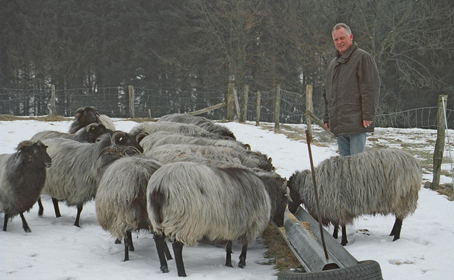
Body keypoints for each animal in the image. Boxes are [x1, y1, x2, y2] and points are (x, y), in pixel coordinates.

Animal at [146, 161, 288, 276]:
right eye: (285, 198)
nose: (281, 223)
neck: (267, 192)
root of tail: (160, 187)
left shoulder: (232, 223)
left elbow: (229, 244)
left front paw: (228, 263)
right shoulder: (252, 223)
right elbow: (245, 245)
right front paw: (241, 262)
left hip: (156, 218)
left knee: (158, 240)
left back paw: (164, 268)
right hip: (183, 221)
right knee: (176, 246)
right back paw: (182, 273)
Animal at [288, 149, 422, 245]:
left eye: (290, 191)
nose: (290, 210)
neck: (312, 187)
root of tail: (414, 163)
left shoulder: (338, 206)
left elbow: (342, 225)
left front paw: (343, 242)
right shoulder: (335, 207)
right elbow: (337, 224)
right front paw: (335, 237)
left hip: (403, 199)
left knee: (399, 219)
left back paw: (395, 238)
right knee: (398, 219)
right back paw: (392, 234)